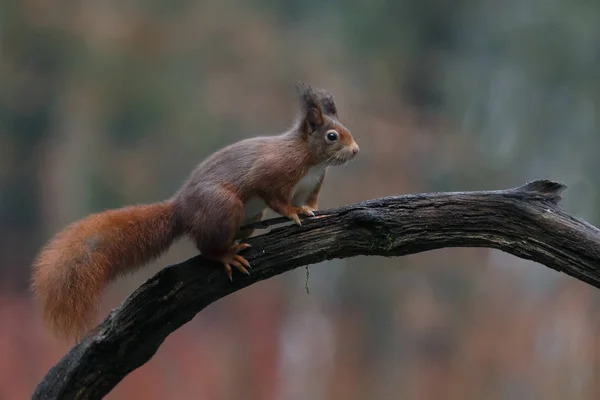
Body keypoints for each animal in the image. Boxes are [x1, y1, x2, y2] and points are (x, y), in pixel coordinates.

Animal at [31, 82, 360, 340]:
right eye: (332, 136)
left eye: (346, 130)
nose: (356, 150)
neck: (312, 160)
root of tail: (181, 209)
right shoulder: (273, 174)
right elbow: (276, 198)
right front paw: (293, 213)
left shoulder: (311, 185)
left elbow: (309, 202)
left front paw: (310, 210)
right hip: (224, 206)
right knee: (206, 247)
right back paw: (226, 255)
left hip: (248, 215)